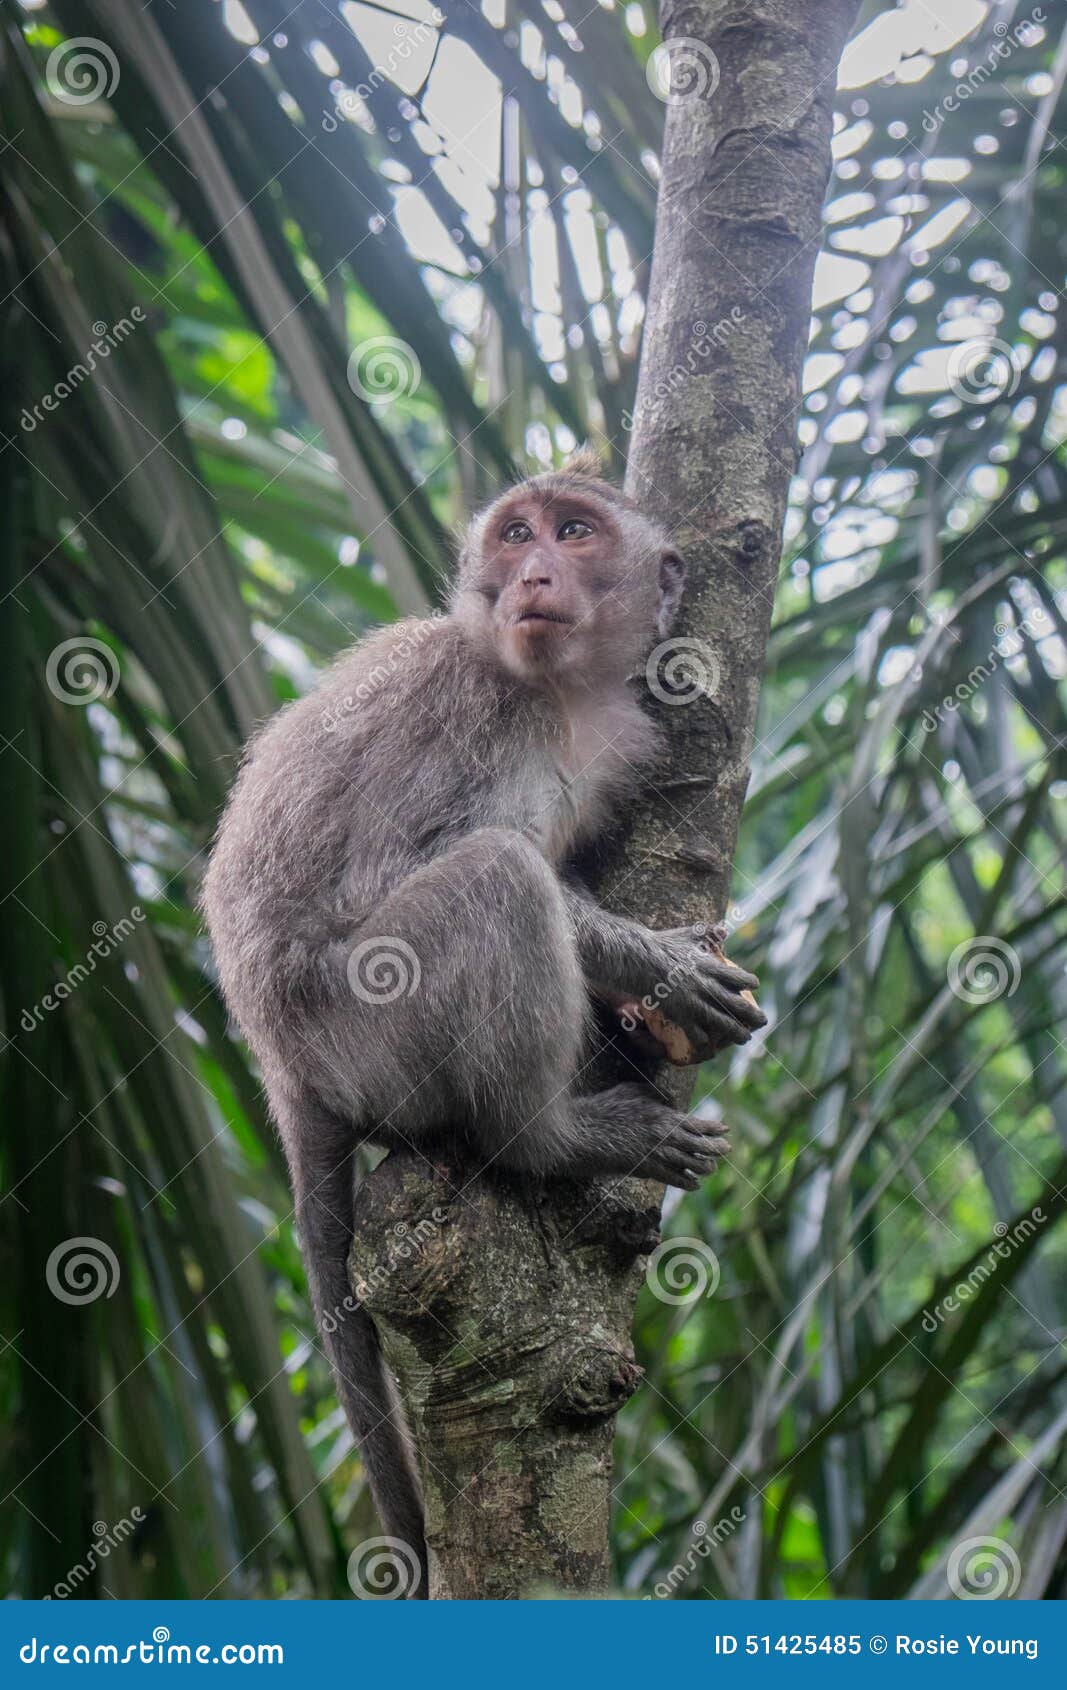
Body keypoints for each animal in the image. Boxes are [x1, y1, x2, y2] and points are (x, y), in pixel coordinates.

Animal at [201, 448, 765, 1593]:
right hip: (360, 1035)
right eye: (515, 534)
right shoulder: (463, 717)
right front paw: (654, 967)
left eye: (574, 531)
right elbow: (396, 875)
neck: (552, 692)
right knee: (493, 876)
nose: (532, 574)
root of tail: (280, 1069)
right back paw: (546, 1136)